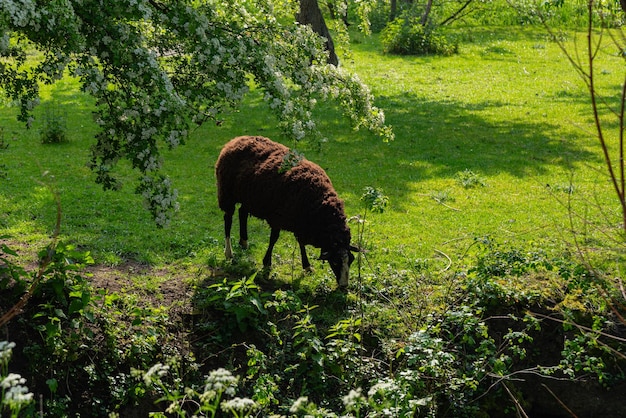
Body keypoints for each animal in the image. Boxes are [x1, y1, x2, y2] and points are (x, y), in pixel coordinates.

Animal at [214, 136, 354, 286]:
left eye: (351, 260)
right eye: (335, 261)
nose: (344, 285)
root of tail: (235, 140)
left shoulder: (300, 223)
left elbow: (301, 243)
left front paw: (307, 266)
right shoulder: (278, 218)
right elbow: (273, 239)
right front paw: (267, 263)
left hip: (248, 196)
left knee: (242, 213)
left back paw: (244, 242)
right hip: (226, 193)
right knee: (228, 219)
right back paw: (229, 253)